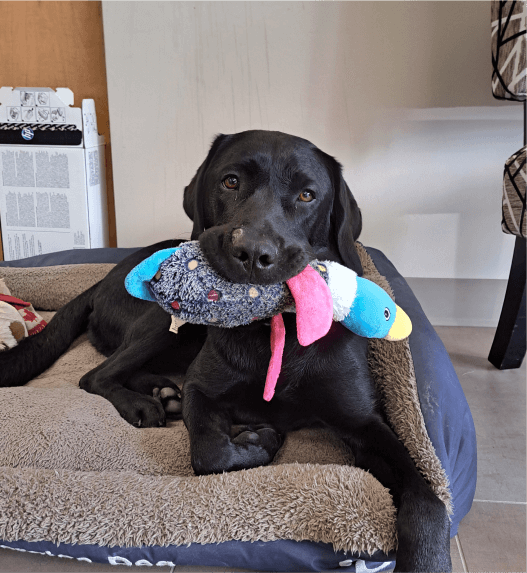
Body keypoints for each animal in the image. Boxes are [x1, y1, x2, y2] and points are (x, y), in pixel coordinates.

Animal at [2, 131, 452, 572]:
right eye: (231, 181)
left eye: (307, 195)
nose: (252, 253)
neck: (274, 329)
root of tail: (100, 280)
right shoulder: (202, 390)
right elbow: (210, 452)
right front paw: (261, 441)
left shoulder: (363, 421)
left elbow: (429, 500)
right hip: (163, 318)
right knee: (96, 375)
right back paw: (144, 403)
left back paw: (161, 392)